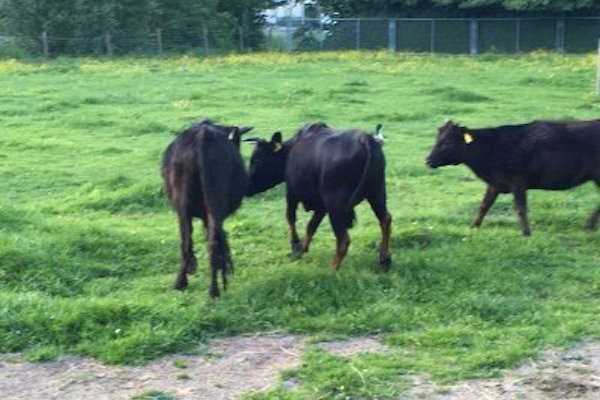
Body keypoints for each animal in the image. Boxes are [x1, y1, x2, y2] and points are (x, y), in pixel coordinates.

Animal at [161, 119, 252, 296]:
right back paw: (212, 289)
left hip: (185, 207)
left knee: (189, 242)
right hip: (212, 206)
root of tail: (203, 136)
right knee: (210, 242)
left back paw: (183, 284)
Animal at [245, 122, 392, 272]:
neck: (290, 152)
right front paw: (303, 248)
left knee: (344, 239)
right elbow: (311, 226)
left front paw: (296, 246)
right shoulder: (321, 205)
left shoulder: (292, 193)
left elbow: (290, 218)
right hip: (377, 192)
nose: (246, 186)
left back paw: (332, 270)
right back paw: (384, 259)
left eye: (257, 161)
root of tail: (365, 139)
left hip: (336, 204)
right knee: (385, 220)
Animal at [426, 120, 600, 236]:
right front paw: (473, 226)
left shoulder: (518, 182)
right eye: (437, 139)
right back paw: (590, 225)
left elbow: (520, 208)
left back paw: (590, 225)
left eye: (447, 142)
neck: (492, 148)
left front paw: (526, 232)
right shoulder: (495, 183)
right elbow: (484, 205)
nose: (427, 160)